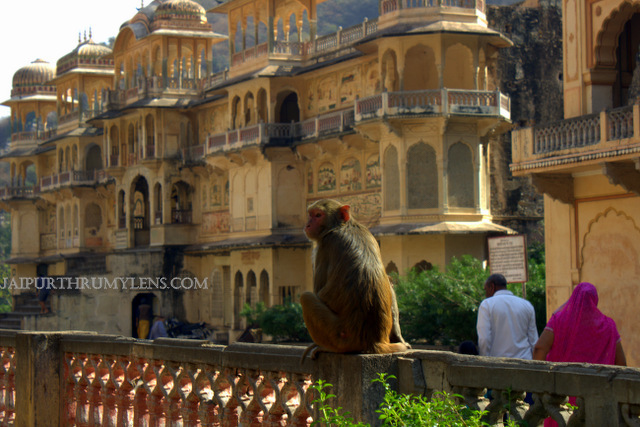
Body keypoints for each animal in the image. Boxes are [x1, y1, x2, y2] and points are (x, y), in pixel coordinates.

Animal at [298, 198, 408, 362]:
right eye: (310, 214)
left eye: (318, 215)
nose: (308, 225)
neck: (343, 226)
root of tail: (373, 341)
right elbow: (389, 282)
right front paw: (399, 338)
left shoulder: (326, 244)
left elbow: (318, 292)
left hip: (340, 336)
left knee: (306, 297)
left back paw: (326, 347)